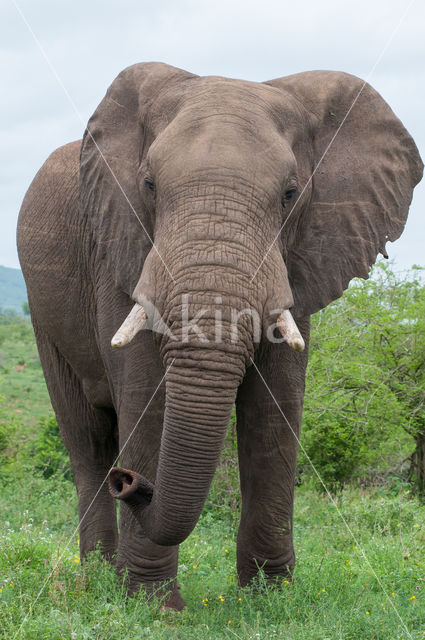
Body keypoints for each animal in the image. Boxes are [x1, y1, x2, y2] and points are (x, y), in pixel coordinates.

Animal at [16, 61, 420, 608]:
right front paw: (154, 609)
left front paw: (270, 602)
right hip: (43, 314)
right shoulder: (121, 247)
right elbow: (146, 395)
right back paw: (96, 580)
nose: (130, 483)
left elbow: (276, 406)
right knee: (87, 439)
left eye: (291, 194)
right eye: (148, 185)